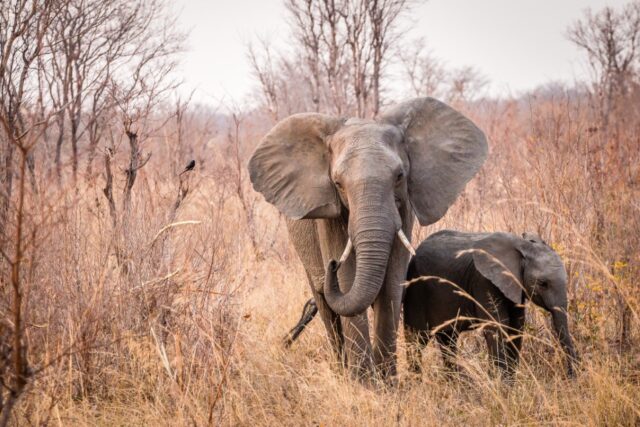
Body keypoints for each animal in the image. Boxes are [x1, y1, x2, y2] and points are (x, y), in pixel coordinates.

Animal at [248, 98, 488, 382]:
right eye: (338, 183)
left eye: (399, 176)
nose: (332, 264)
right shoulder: (330, 220)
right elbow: (348, 280)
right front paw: (365, 384)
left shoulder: (404, 209)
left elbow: (392, 284)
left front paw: (388, 383)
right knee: (326, 308)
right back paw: (342, 370)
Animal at [404, 231, 580, 382]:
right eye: (543, 284)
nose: (571, 378)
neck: (522, 246)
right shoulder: (483, 281)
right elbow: (497, 327)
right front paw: (502, 386)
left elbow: (516, 327)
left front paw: (510, 385)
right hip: (415, 291)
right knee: (416, 339)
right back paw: (416, 383)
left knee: (447, 339)